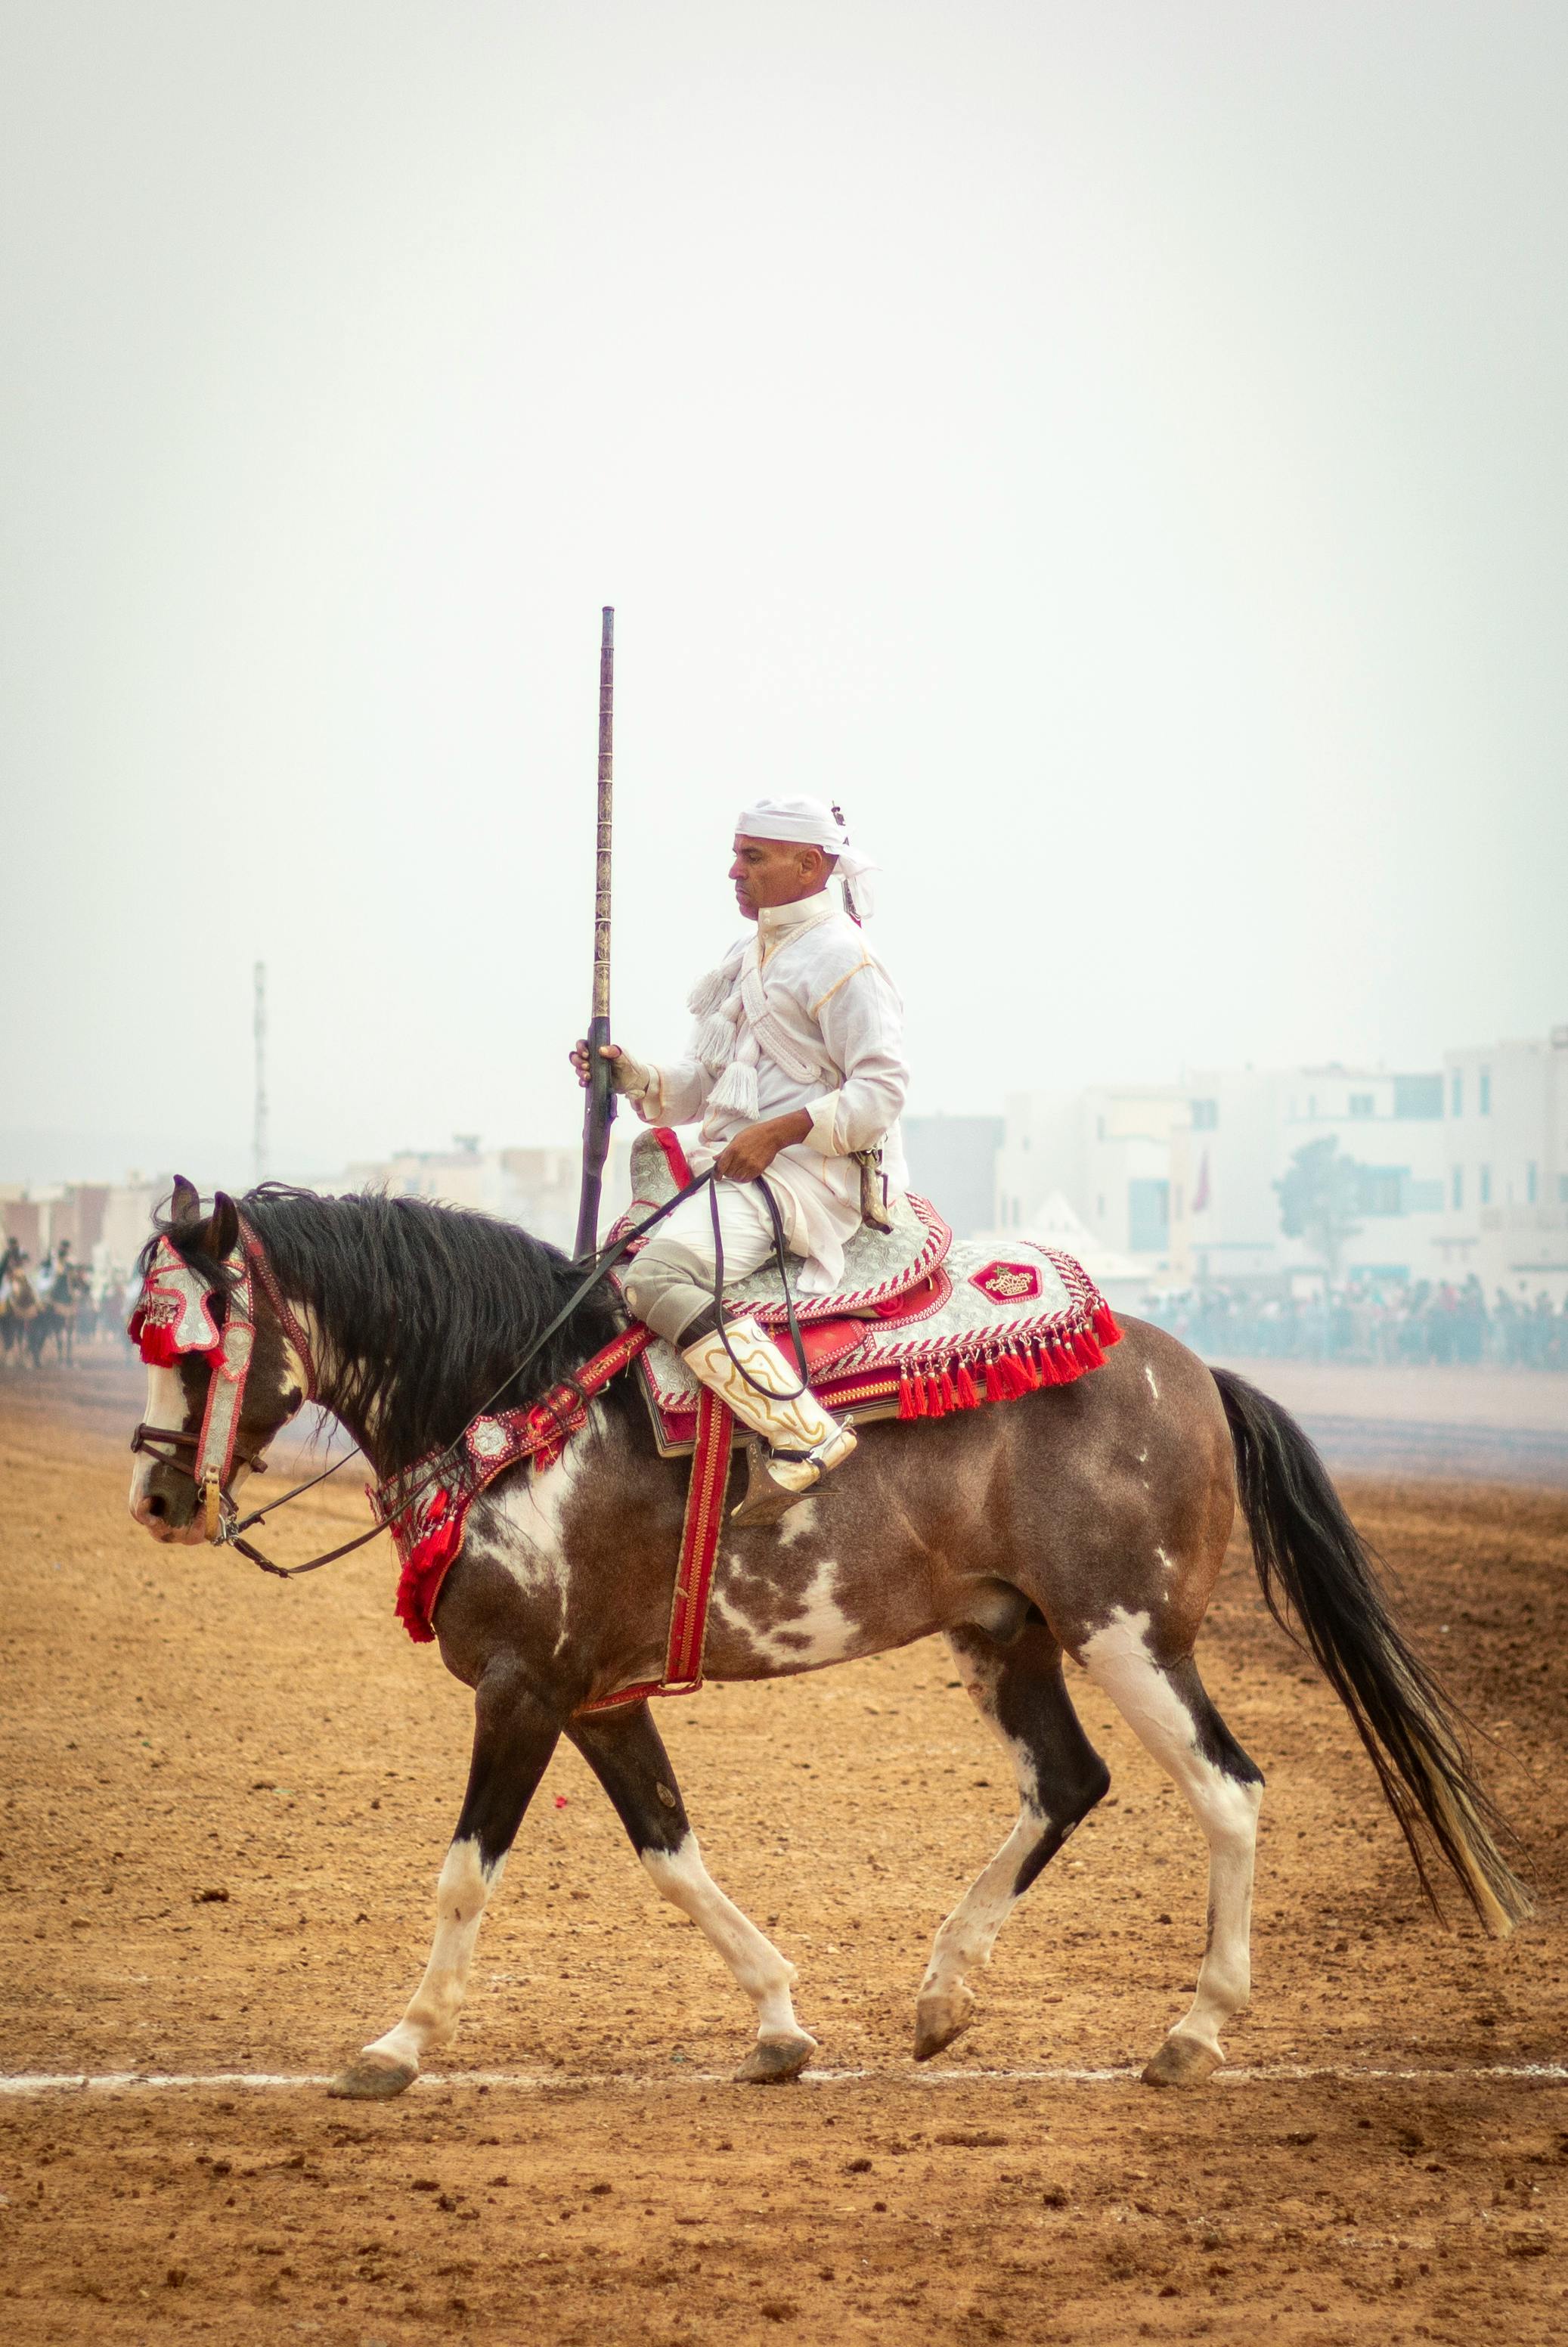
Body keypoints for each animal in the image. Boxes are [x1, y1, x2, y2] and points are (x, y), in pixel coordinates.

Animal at [127, 1178, 1528, 2101]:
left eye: (191, 1341)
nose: (158, 1496)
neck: (512, 1410)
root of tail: (1190, 1369)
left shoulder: (524, 1691)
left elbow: (466, 1873)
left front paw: (398, 2045)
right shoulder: (599, 1699)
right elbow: (672, 1856)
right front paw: (778, 2022)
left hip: (1128, 1634)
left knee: (1226, 1792)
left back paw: (1195, 2028)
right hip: (1004, 1632)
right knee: (1066, 1783)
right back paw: (943, 1987)